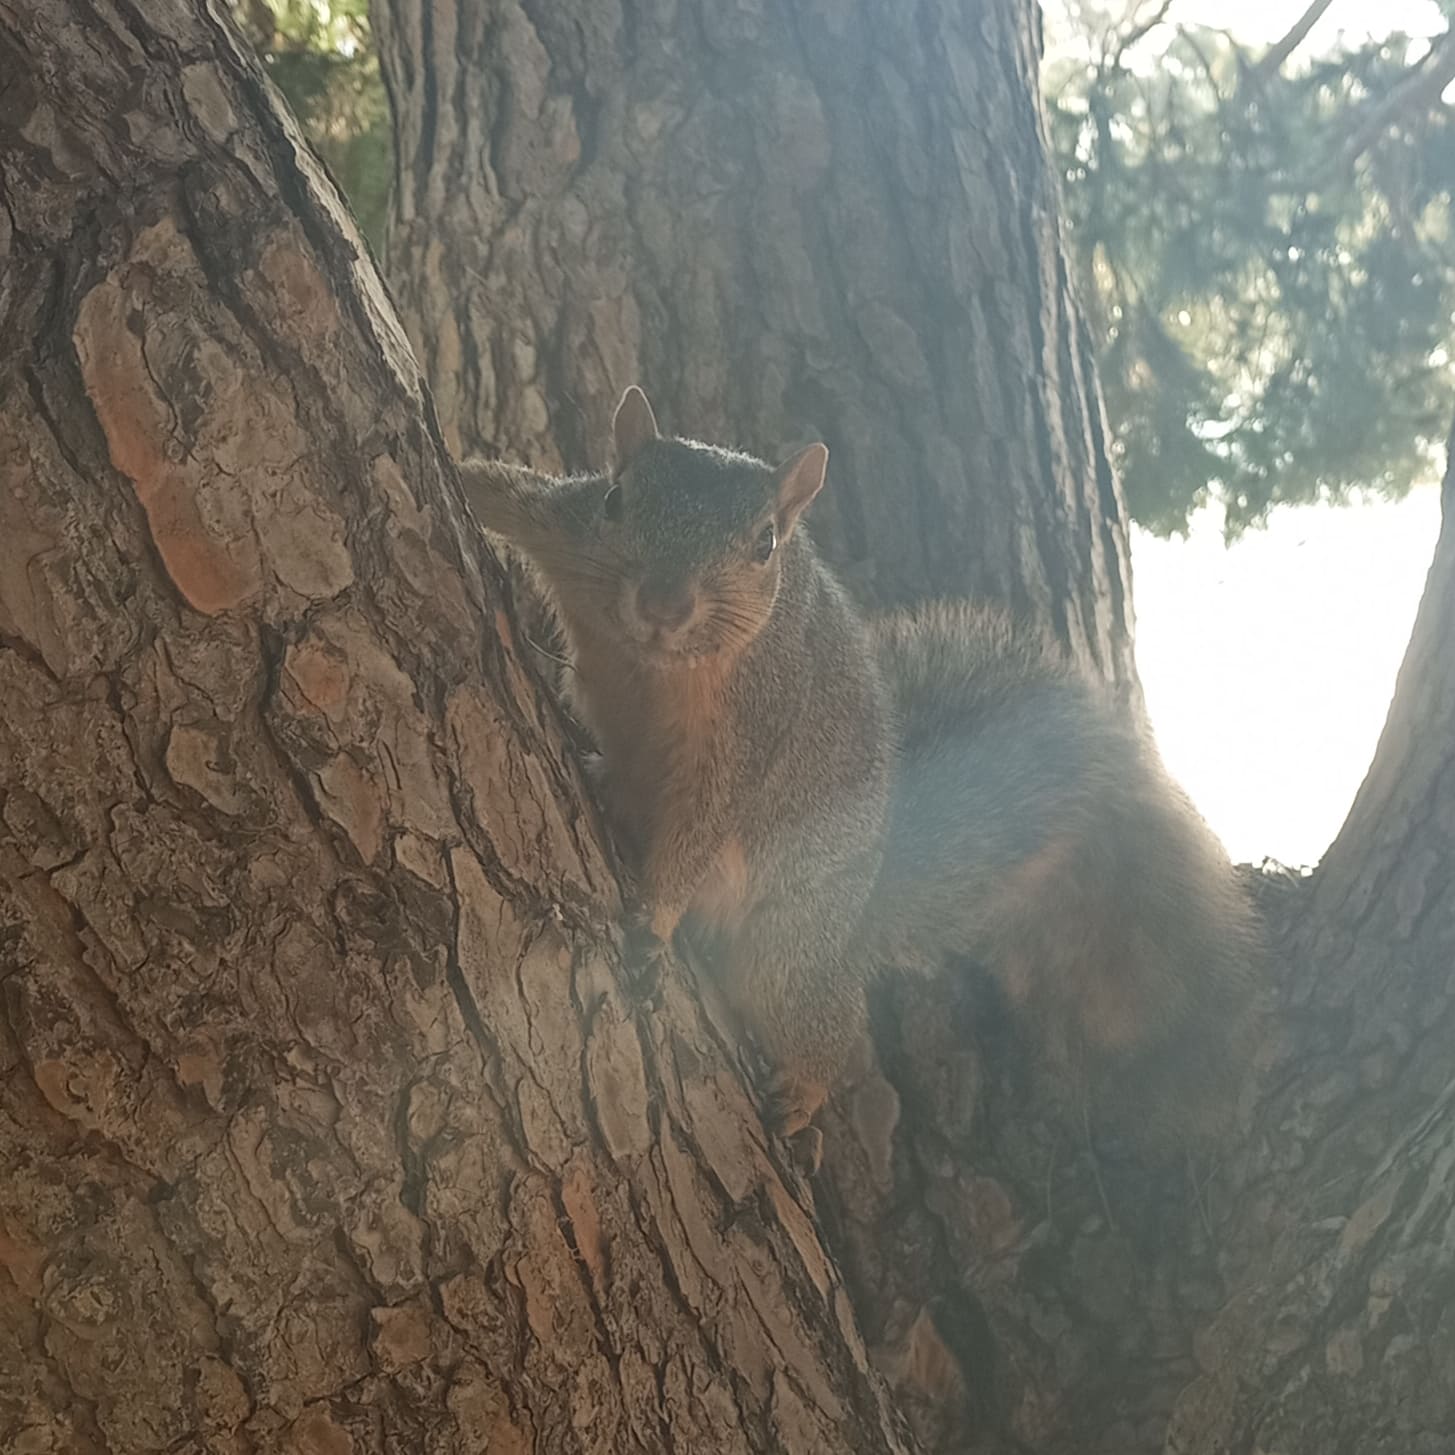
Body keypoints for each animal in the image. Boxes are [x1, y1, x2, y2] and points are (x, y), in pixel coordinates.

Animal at [459, 388, 1260, 1162]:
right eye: (616, 497)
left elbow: (699, 826)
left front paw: (653, 919)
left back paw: (804, 1094)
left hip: (791, 939)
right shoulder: (562, 526)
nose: (664, 604)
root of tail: (861, 902)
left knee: (820, 1016)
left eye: (764, 544)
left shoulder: (753, 731)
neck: (656, 663)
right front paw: (462, 472)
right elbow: (501, 490)